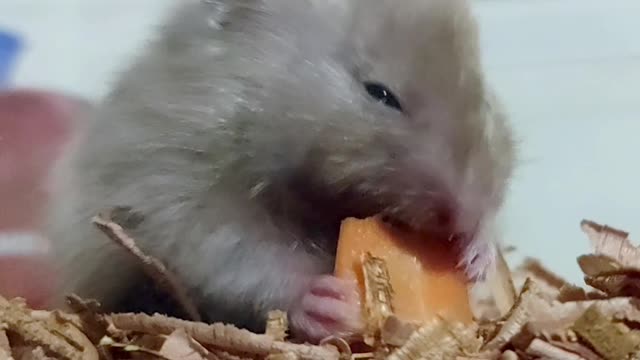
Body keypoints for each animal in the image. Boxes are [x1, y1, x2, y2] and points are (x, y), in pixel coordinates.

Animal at [43, 0, 516, 344]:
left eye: (483, 96)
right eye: (380, 94)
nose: (459, 218)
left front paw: (478, 258)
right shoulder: (181, 191)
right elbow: (237, 253)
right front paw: (333, 303)